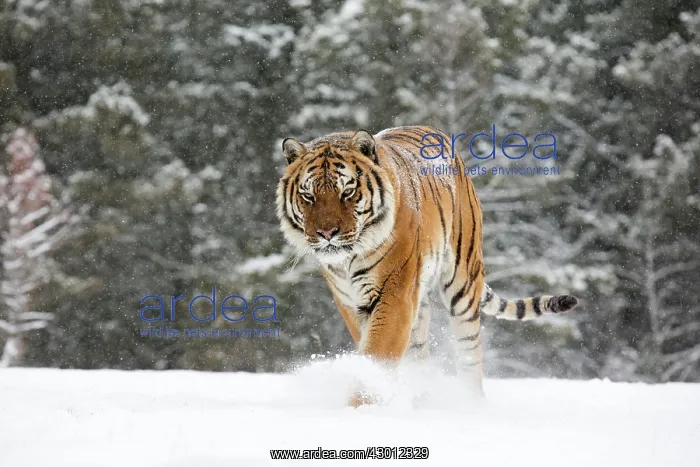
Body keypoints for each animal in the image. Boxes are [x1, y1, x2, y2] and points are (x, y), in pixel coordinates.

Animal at [276, 125, 579, 407]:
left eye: (347, 192)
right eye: (308, 196)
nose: (327, 233)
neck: (348, 259)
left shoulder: (394, 292)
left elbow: (377, 353)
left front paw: (360, 407)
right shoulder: (350, 300)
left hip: (463, 283)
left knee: (469, 353)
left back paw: (471, 404)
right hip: (419, 302)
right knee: (418, 352)